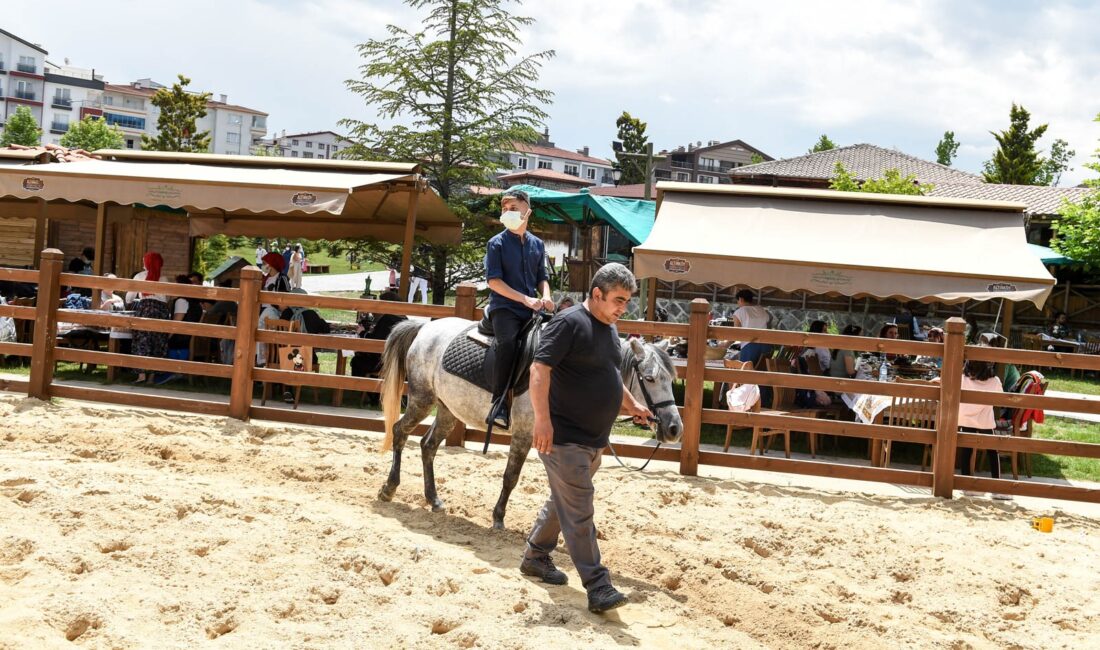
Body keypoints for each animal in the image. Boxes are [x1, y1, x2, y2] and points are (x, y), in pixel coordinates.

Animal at [382, 314, 682, 527]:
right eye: (650, 378)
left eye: (671, 377)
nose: (673, 428)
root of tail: (425, 327)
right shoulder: (525, 435)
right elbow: (511, 477)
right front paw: (498, 517)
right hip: (422, 399)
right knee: (399, 432)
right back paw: (389, 488)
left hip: (447, 410)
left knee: (428, 446)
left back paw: (433, 499)